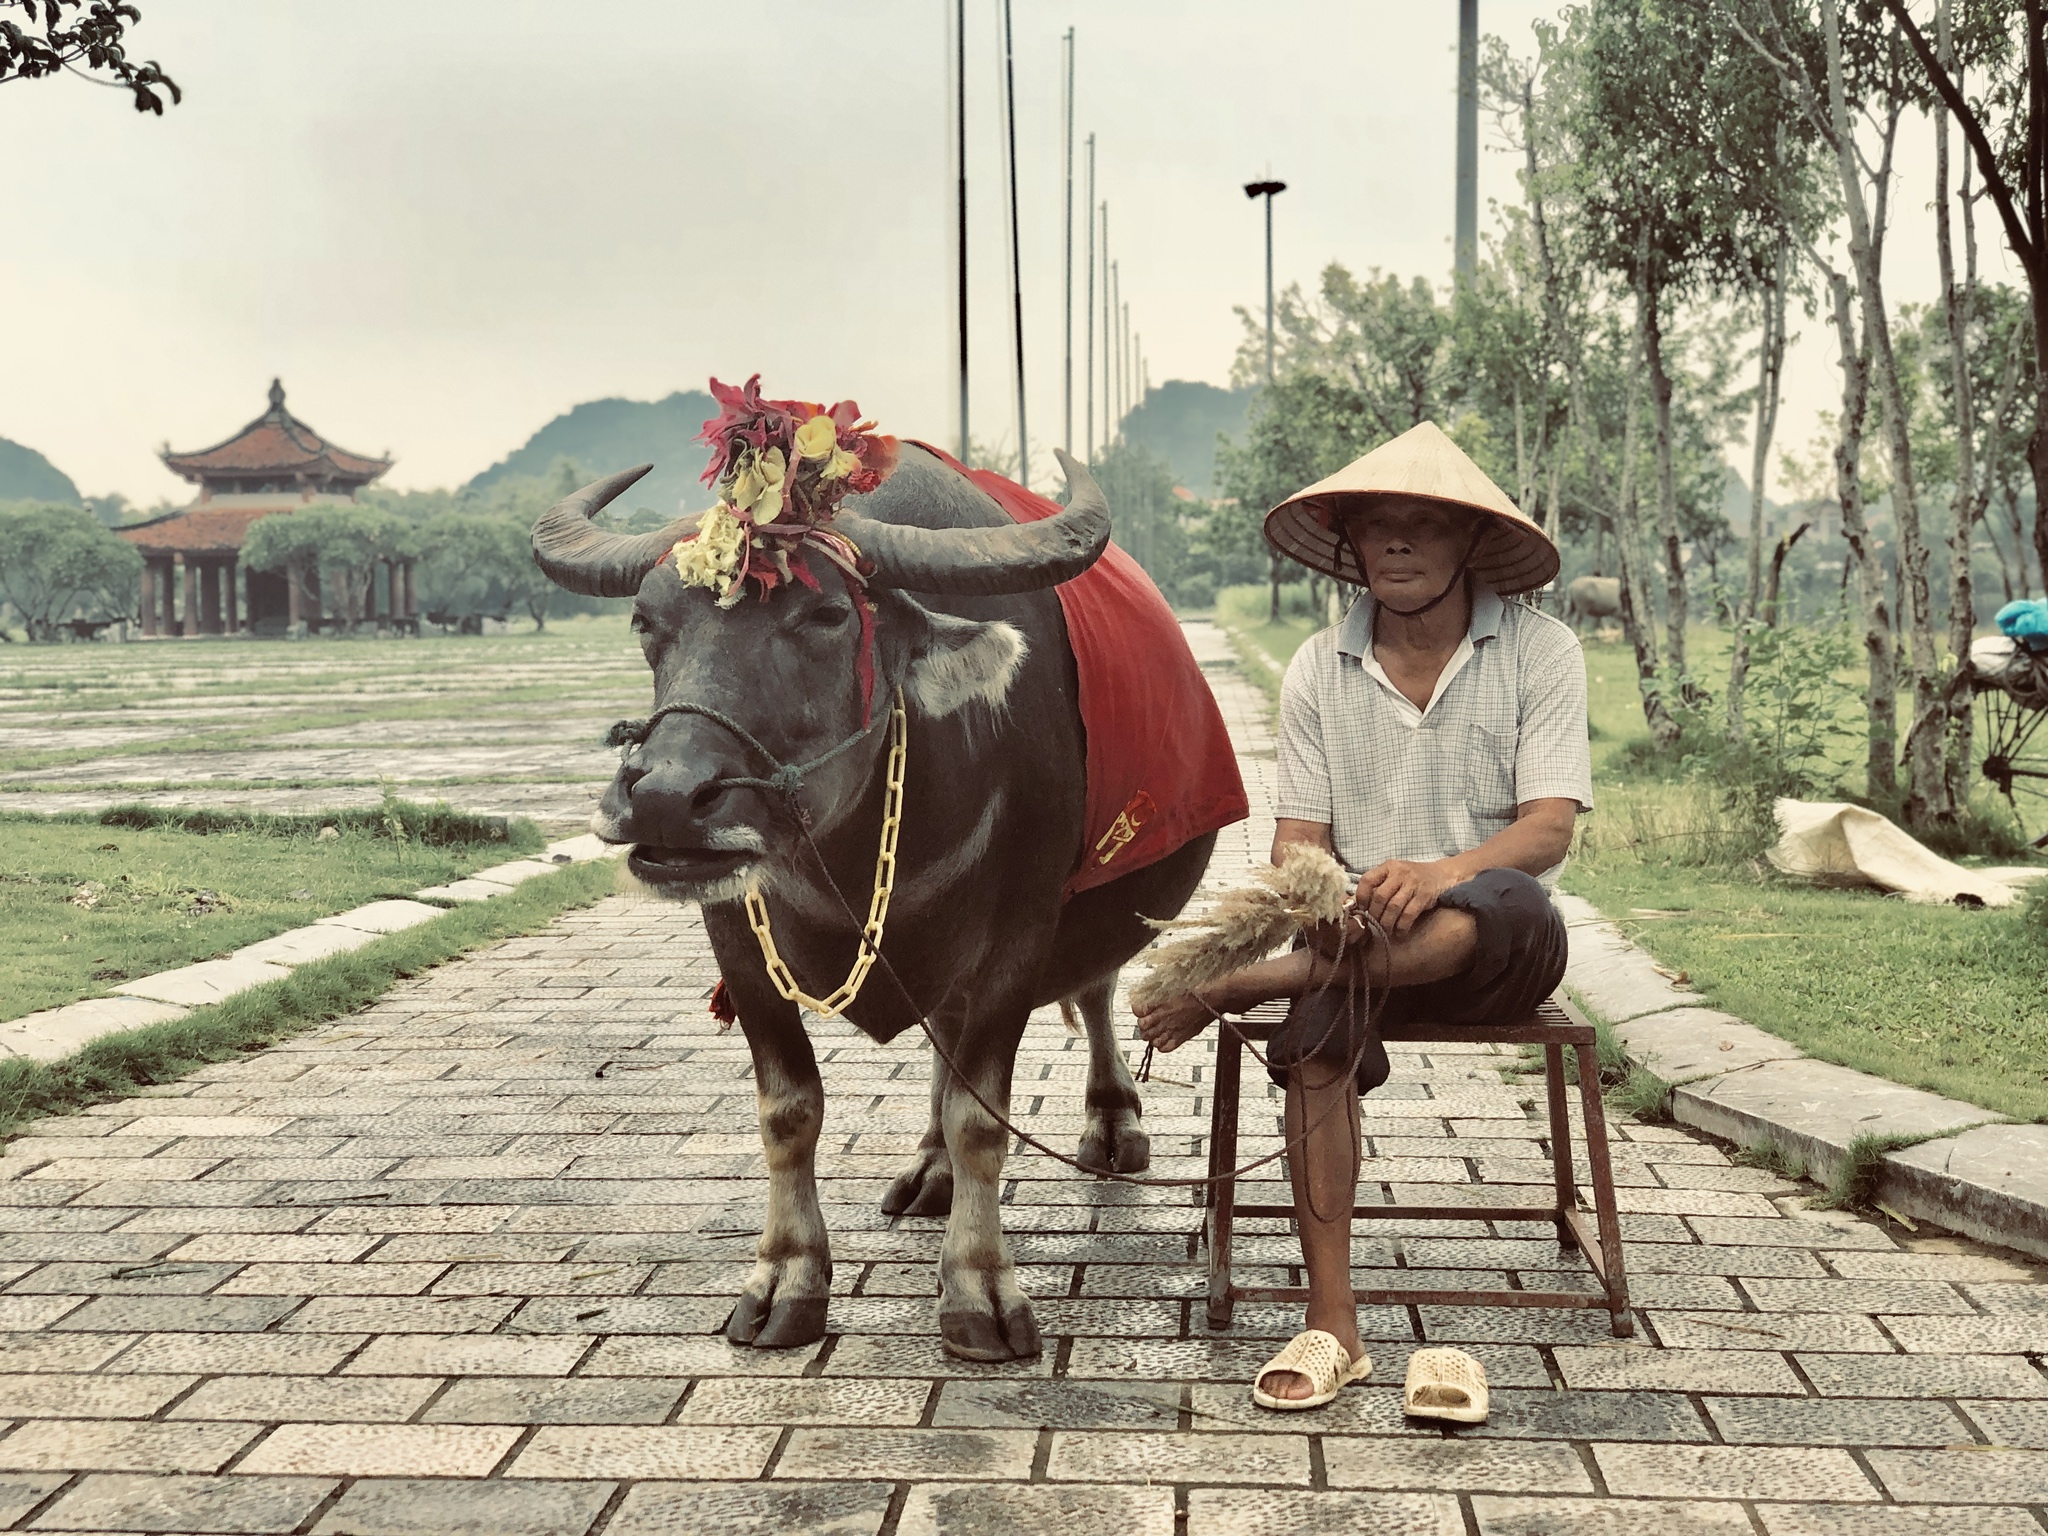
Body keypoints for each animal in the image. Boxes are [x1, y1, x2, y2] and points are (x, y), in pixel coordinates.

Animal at [536, 444, 1220, 1359]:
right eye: (646, 620)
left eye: (827, 615)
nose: (667, 801)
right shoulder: (734, 932)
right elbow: (790, 1109)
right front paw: (786, 1278)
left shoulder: (1020, 932)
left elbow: (981, 1117)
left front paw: (979, 1289)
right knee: (945, 1036)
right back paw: (929, 1170)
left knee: (1094, 990)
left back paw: (1112, 1126)